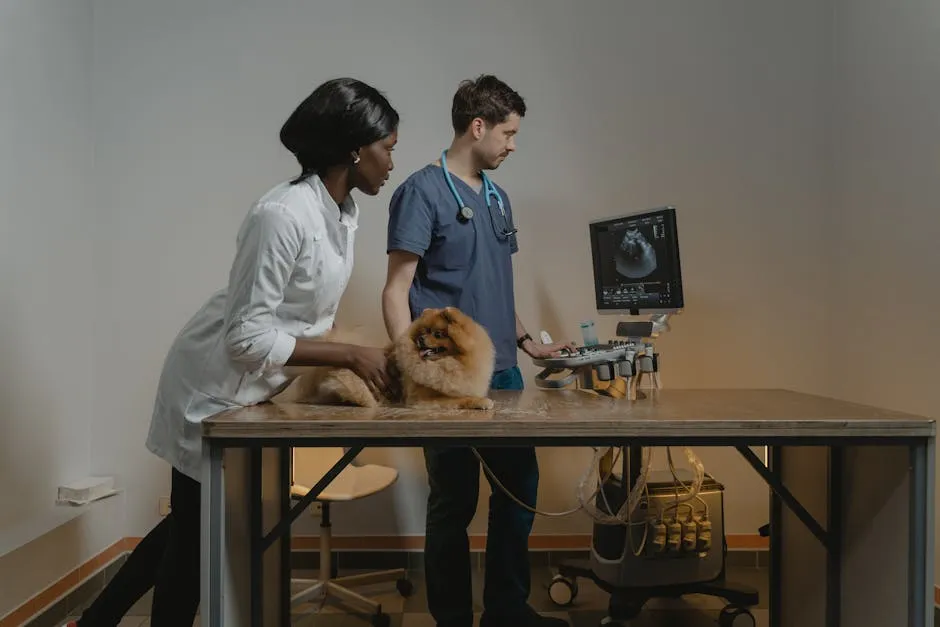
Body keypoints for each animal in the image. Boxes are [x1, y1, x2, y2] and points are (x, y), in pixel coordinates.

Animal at [292, 306, 500, 412]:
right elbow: (460, 398)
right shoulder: (421, 398)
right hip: (354, 383)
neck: (450, 364)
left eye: (438, 334)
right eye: (423, 331)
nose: (420, 339)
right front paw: (481, 401)